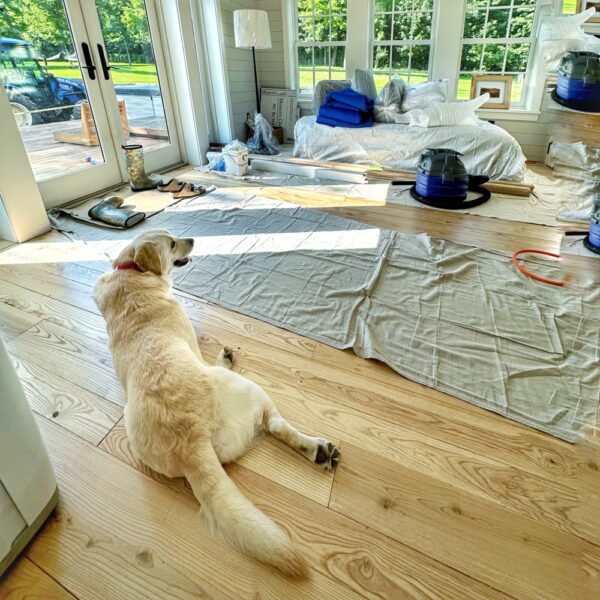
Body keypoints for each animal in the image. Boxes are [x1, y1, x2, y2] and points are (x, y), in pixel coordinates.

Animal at [92, 230, 338, 576]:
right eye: (171, 243)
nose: (193, 240)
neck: (132, 271)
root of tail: (190, 441)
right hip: (251, 390)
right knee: (276, 424)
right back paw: (317, 448)